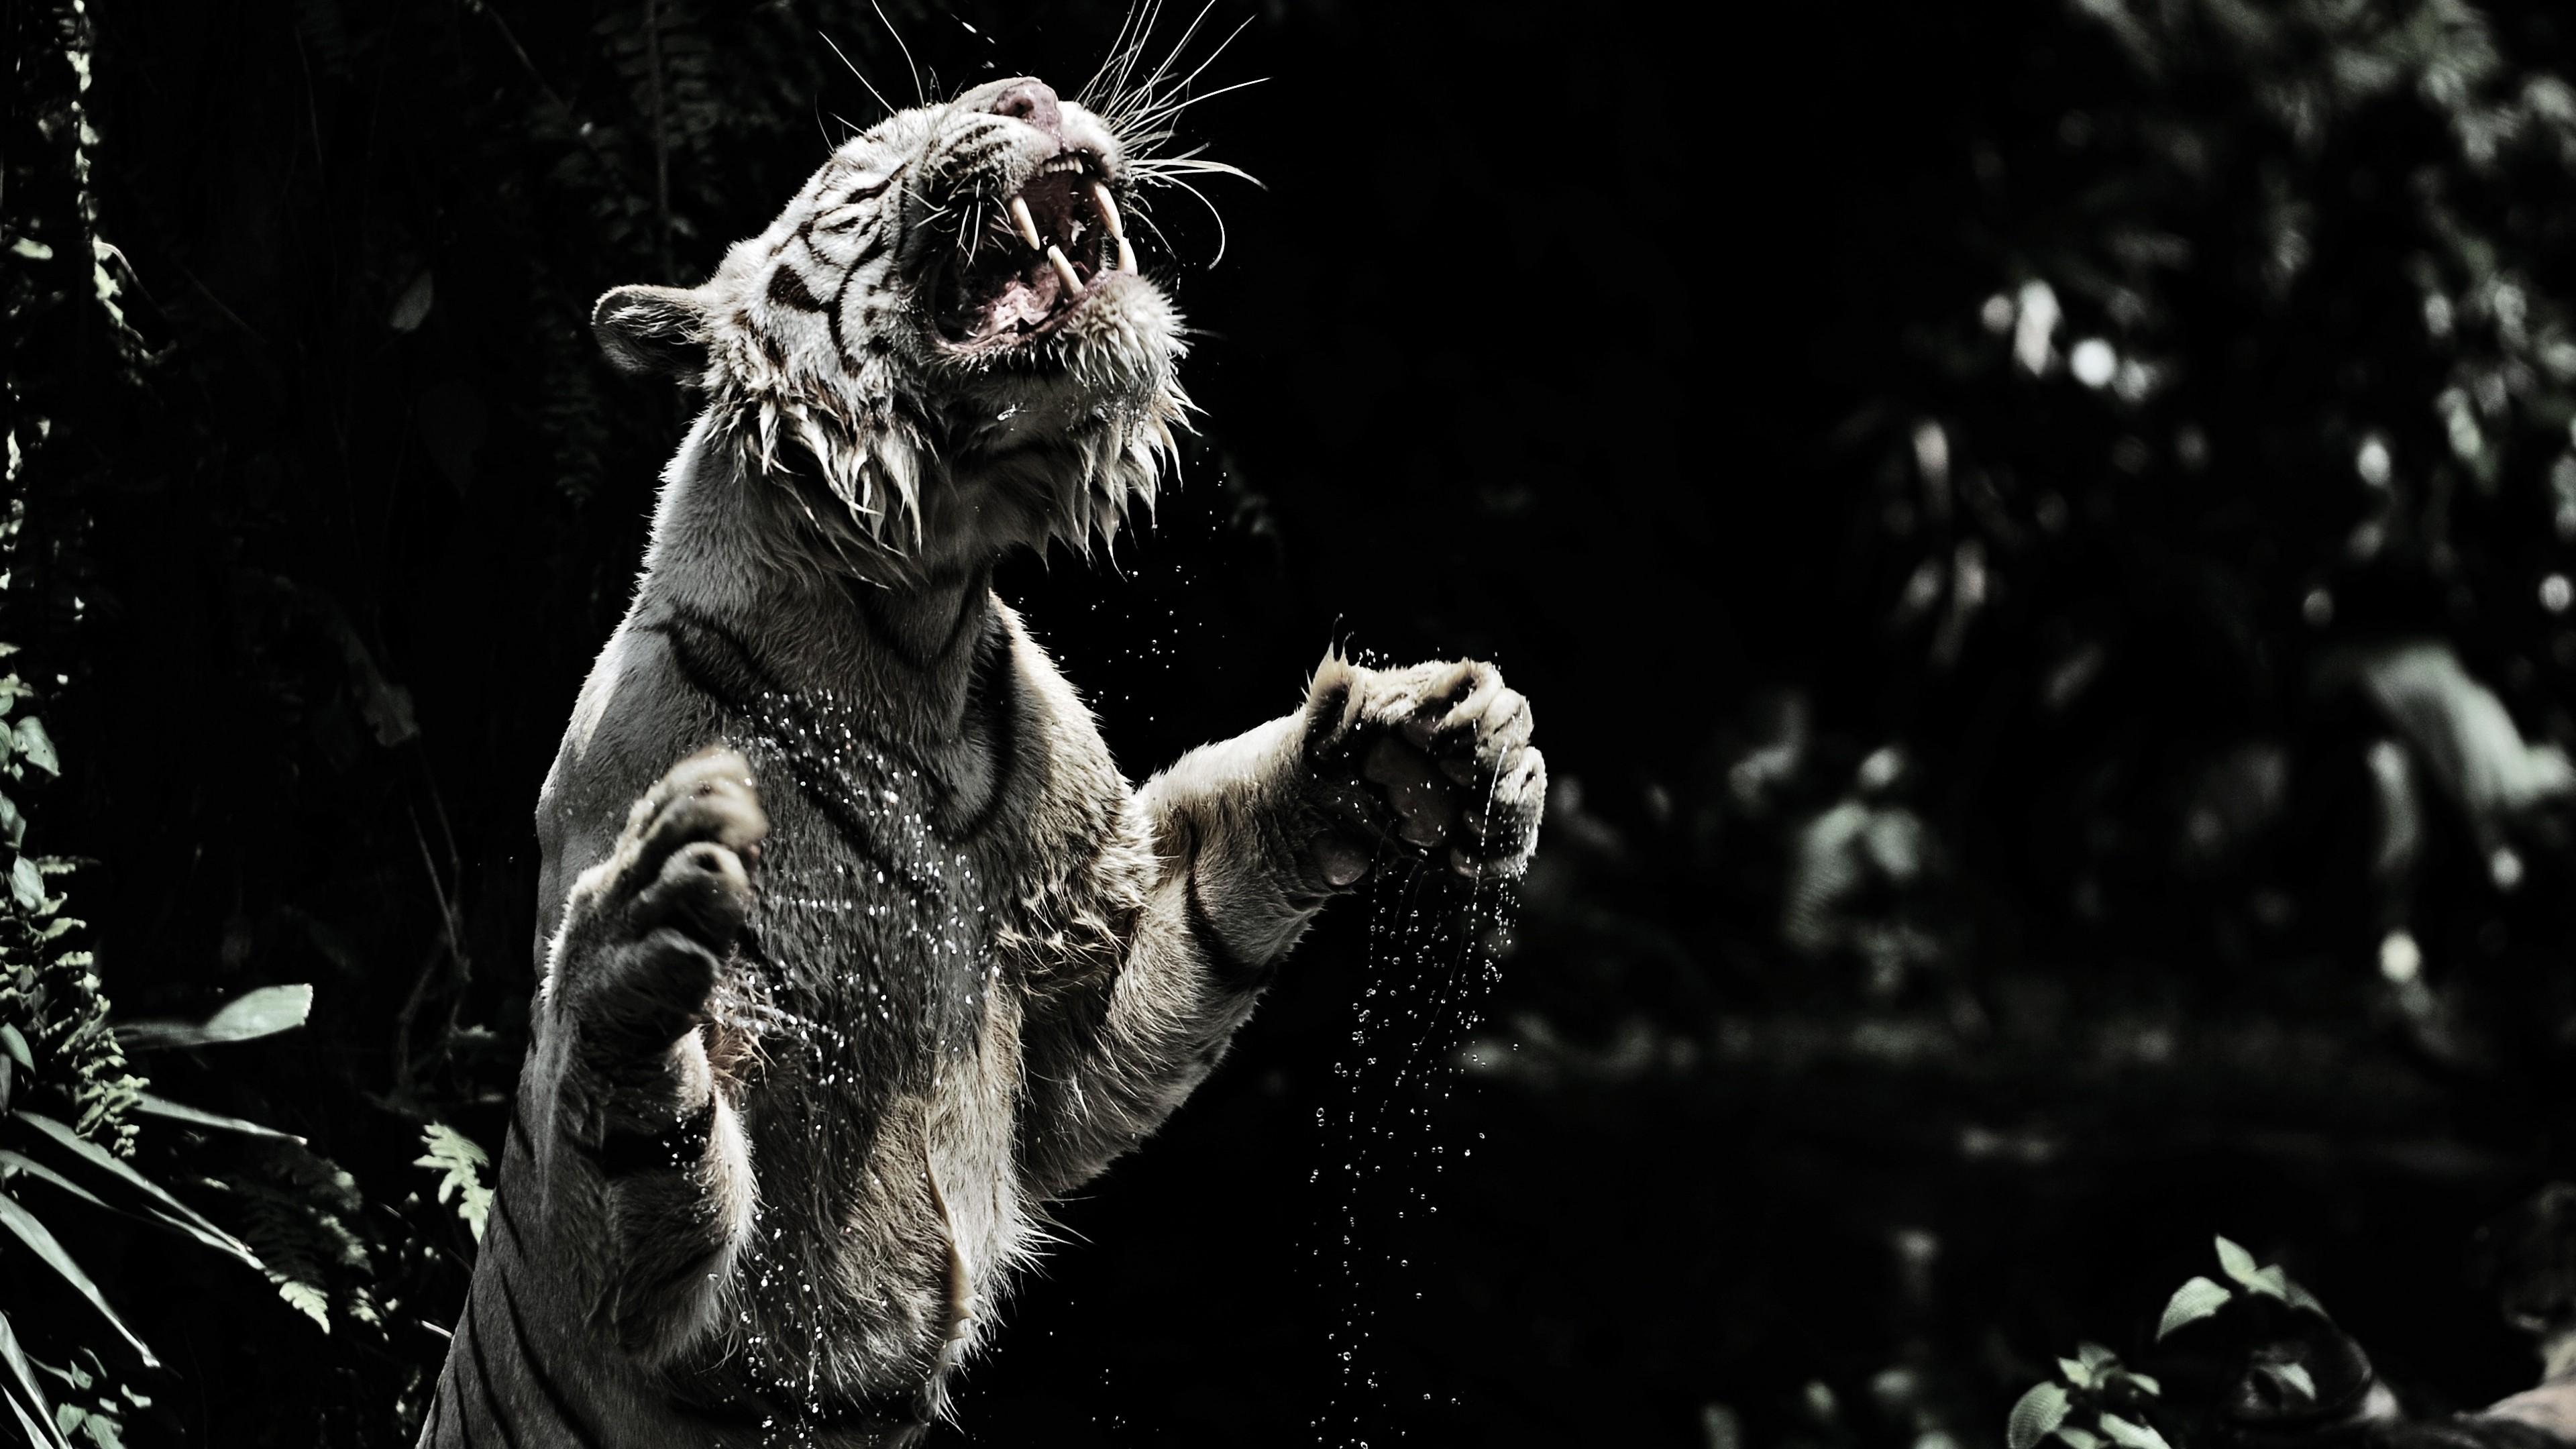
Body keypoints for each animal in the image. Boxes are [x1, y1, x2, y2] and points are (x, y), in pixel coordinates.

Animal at [417, 72, 1545, 1447]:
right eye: (865, 158)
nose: (1032, 92)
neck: (918, 639)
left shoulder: (1073, 992)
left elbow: (1217, 901)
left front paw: (1423, 744)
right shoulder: (673, 1285)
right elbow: (630, 1152)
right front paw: (640, 938)